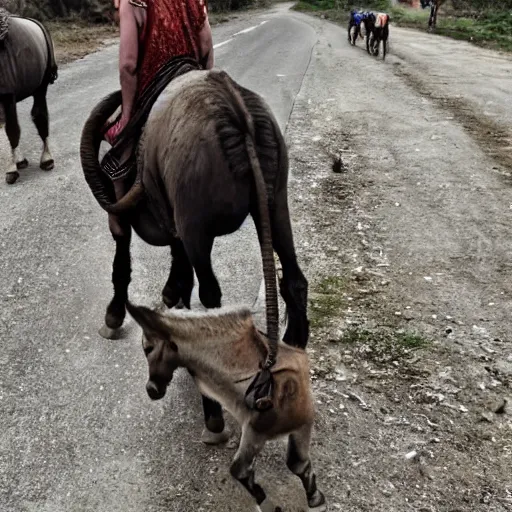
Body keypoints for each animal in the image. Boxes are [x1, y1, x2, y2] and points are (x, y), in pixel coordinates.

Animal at [126, 302, 326, 510]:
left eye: (148, 348)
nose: (152, 390)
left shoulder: (302, 424)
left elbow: (296, 463)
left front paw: (315, 498)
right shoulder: (253, 433)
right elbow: (240, 470)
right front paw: (265, 501)